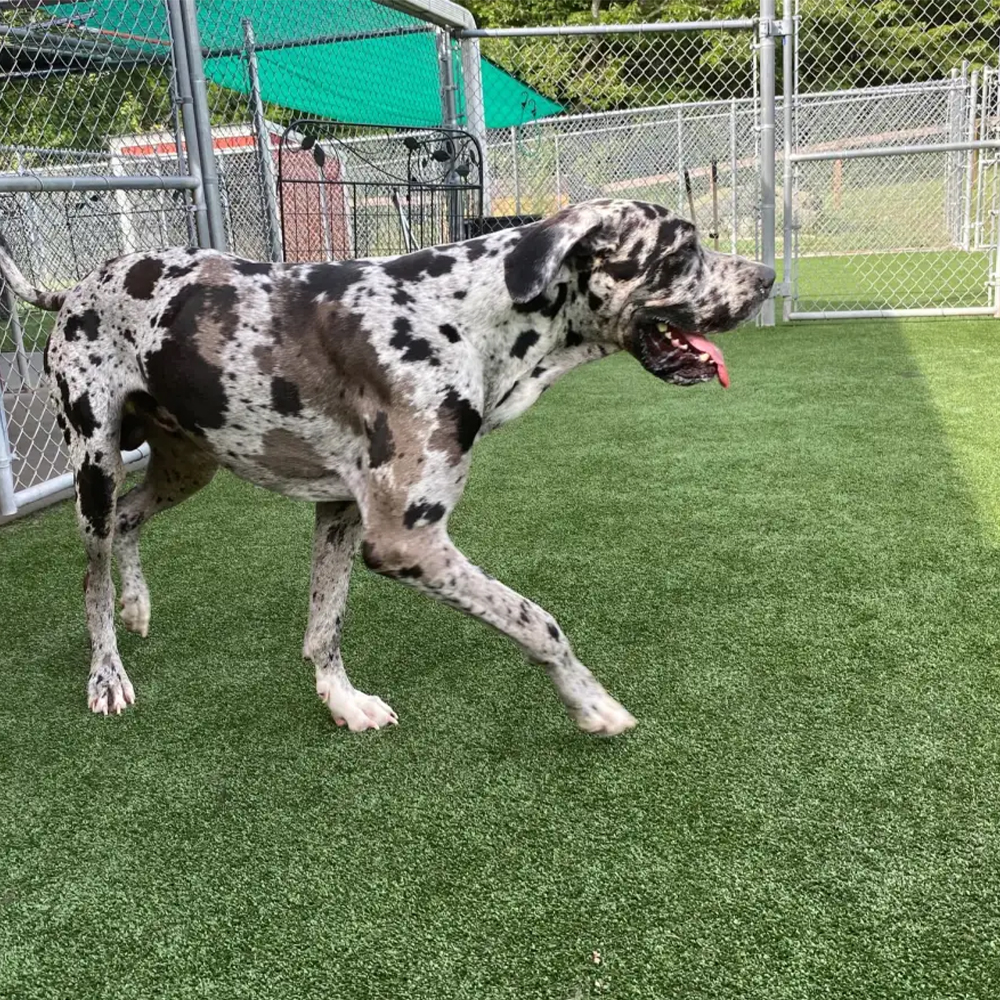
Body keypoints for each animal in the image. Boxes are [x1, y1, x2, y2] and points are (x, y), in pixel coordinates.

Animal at [0, 201, 772, 736]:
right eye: (683, 250)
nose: (767, 278)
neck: (463, 314)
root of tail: (74, 288)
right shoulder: (407, 540)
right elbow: (538, 622)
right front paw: (590, 704)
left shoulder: (342, 511)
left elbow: (324, 626)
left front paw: (341, 701)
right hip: (94, 468)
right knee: (92, 574)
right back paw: (106, 672)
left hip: (189, 464)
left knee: (132, 522)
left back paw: (137, 604)